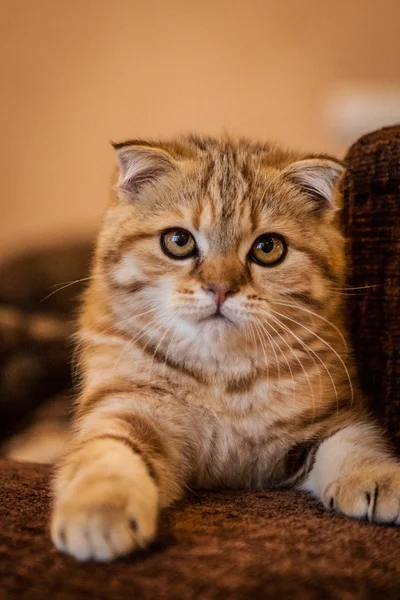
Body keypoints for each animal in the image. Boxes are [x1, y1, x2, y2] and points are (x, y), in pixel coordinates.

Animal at [50, 136, 400, 564]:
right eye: (178, 241)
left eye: (268, 247)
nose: (220, 289)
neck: (222, 373)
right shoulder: (127, 404)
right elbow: (108, 453)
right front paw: (99, 509)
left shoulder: (323, 419)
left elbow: (354, 441)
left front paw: (378, 476)